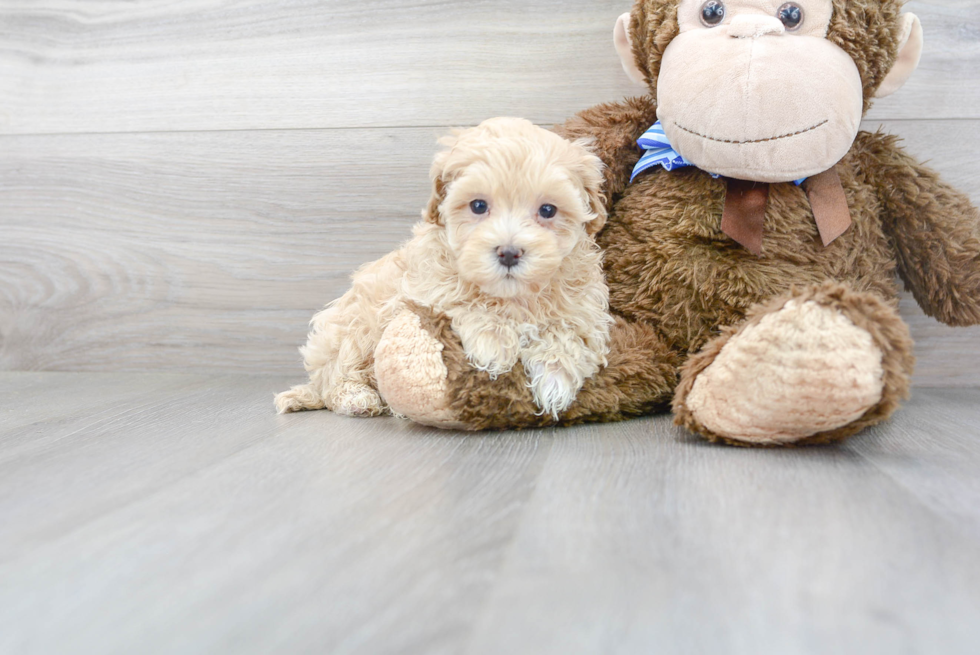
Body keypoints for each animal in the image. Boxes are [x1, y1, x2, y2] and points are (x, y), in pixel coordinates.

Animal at [278, 117, 612, 420]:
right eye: (478, 206)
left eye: (548, 210)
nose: (508, 253)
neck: (512, 296)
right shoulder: (423, 292)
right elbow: (463, 305)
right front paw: (494, 345)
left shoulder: (584, 308)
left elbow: (569, 330)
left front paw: (556, 379)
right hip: (354, 326)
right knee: (334, 377)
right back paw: (357, 397)